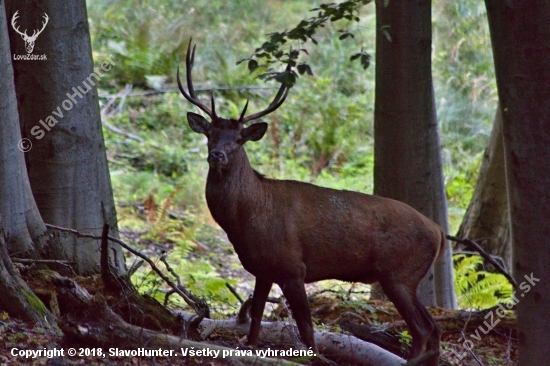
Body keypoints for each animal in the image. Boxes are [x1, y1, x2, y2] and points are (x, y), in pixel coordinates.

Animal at [179, 40, 446, 366]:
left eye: (239, 139)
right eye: (210, 135)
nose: (217, 155)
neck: (247, 217)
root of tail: (439, 232)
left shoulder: (293, 266)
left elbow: (306, 328)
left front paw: (313, 358)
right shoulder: (263, 269)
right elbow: (256, 320)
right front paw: (251, 346)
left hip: (400, 274)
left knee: (422, 330)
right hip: (408, 277)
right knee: (434, 329)